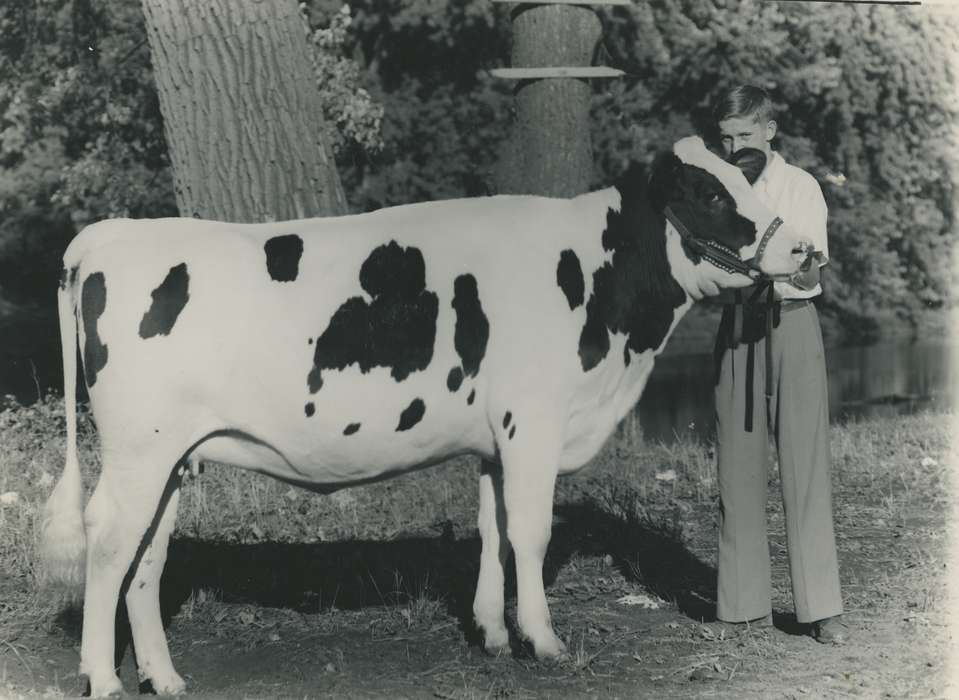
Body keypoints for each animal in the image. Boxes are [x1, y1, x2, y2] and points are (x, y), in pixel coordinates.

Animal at [41, 136, 810, 696]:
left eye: (745, 182)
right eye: (709, 193)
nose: (801, 249)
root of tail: (105, 238)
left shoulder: (495, 439)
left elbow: (492, 530)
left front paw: (494, 635)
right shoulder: (533, 421)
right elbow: (529, 533)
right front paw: (544, 641)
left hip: (173, 456)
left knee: (147, 552)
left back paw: (165, 678)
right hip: (139, 449)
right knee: (109, 539)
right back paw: (104, 679)